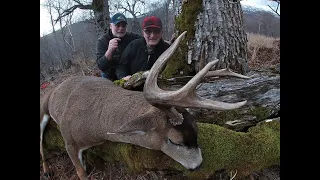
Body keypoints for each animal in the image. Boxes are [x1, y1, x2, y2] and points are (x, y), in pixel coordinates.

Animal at [40, 31, 250, 180]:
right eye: (175, 141)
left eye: (196, 130)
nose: (198, 165)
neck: (97, 124)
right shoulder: (69, 140)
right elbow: (81, 172)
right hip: (43, 108)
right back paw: (47, 170)